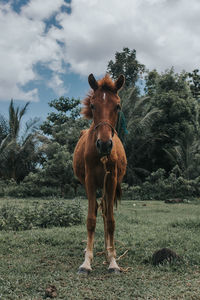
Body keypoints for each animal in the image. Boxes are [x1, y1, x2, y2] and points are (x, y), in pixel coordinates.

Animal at [73, 73, 126, 274]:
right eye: (93, 105)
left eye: (117, 106)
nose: (104, 144)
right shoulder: (89, 182)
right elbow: (90, 219)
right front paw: (86, 262)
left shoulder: (110, 180)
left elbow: (110, 220)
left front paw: (113, 261)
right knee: (98, 209)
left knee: (104, 210)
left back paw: (108, 249)